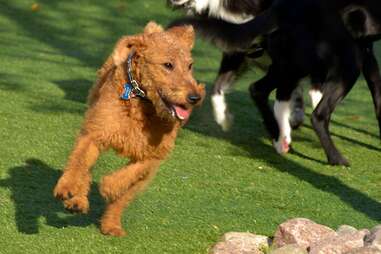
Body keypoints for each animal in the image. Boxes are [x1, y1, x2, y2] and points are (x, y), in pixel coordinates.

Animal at [53, 21, 205, 236]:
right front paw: (67, 188)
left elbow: (130, 175)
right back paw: (78, 201)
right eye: (168, 65)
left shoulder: (155, 154)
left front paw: (109, 186)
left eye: (190, 66)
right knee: (86, 167)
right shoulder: (95, 133)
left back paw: (111, 225)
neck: (141, 101)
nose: (195, 97)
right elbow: (79, 162)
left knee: (123, 197)